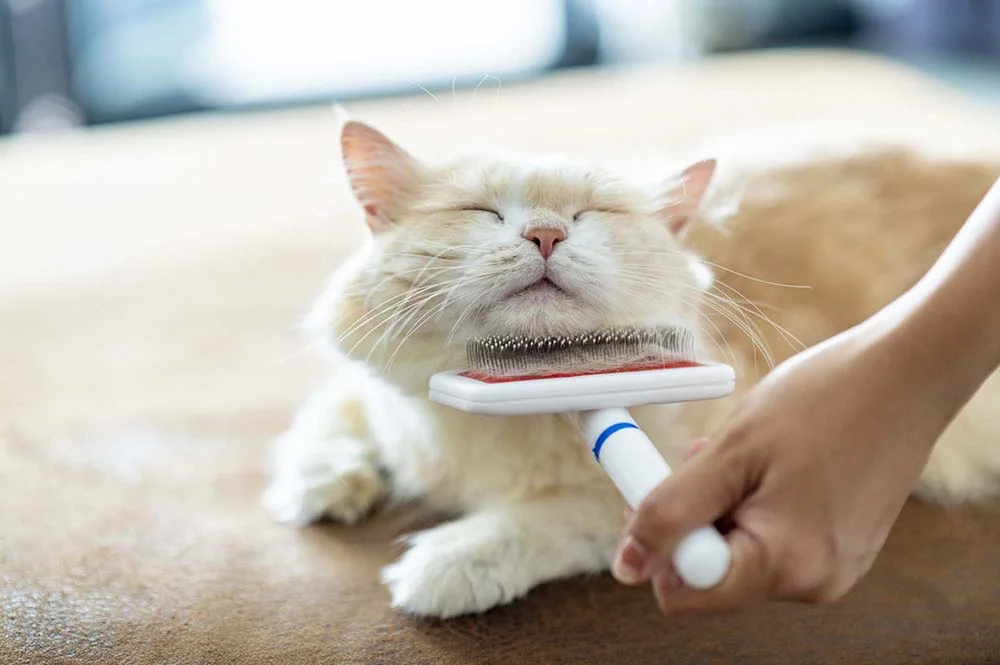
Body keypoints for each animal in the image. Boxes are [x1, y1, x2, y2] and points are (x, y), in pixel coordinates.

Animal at [264, 113, 1000, 616]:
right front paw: (321, 486)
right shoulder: (385, 395)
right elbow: (327, 419)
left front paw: (447, 563)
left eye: (593, 215)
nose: (546, 234)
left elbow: (549, 514)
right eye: (482, 212)